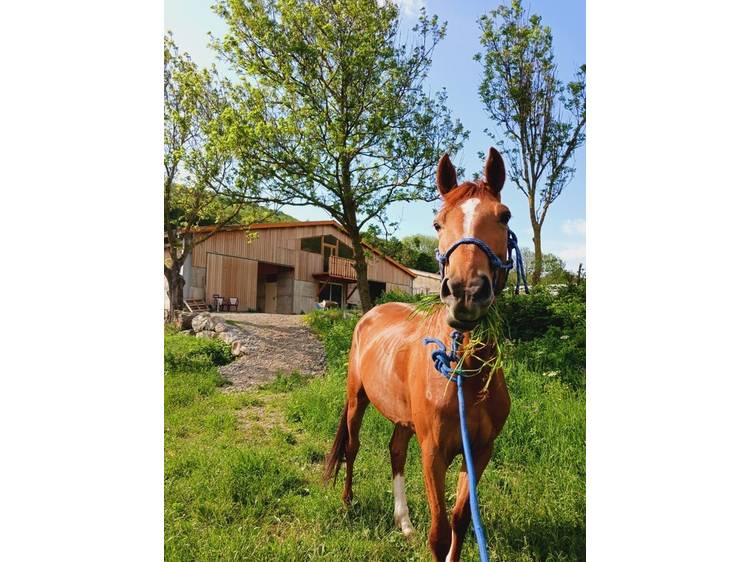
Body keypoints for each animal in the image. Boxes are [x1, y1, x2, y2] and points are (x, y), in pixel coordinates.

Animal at [323, 147, 513, 561]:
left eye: (504, 215)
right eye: (438, 223)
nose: (466, 292)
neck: (464, 374)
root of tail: (371, 313)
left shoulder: (479, 452)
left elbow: (460, 521)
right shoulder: (433, 453)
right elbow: (439, 532)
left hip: (402, 418)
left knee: (395, 451)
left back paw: (404, 521)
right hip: (356, 399)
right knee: (352, 447)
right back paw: (346, 502)